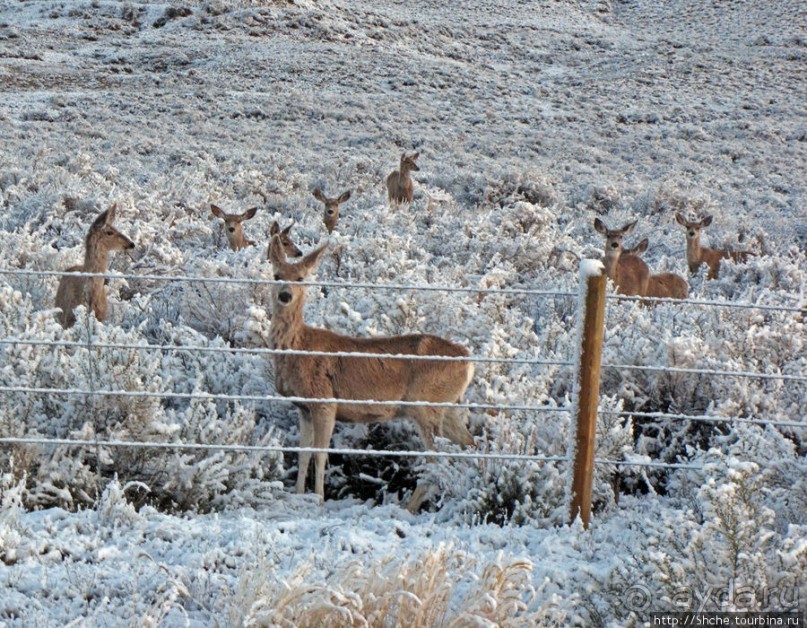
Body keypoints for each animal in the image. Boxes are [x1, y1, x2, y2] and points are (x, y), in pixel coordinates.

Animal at [268, 233, 476, 512]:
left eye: (301, 277)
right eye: (276, 275)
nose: (285, 295)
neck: (298, 346)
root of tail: (468, 361)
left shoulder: (325, 400)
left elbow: (320, 454)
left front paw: (319, 500)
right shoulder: (304, 407)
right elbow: (303, 454)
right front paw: (299, 495)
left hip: (425, 404)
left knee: (437, 458)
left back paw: (409, 507)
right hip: (448, 406)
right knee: (470, 443)